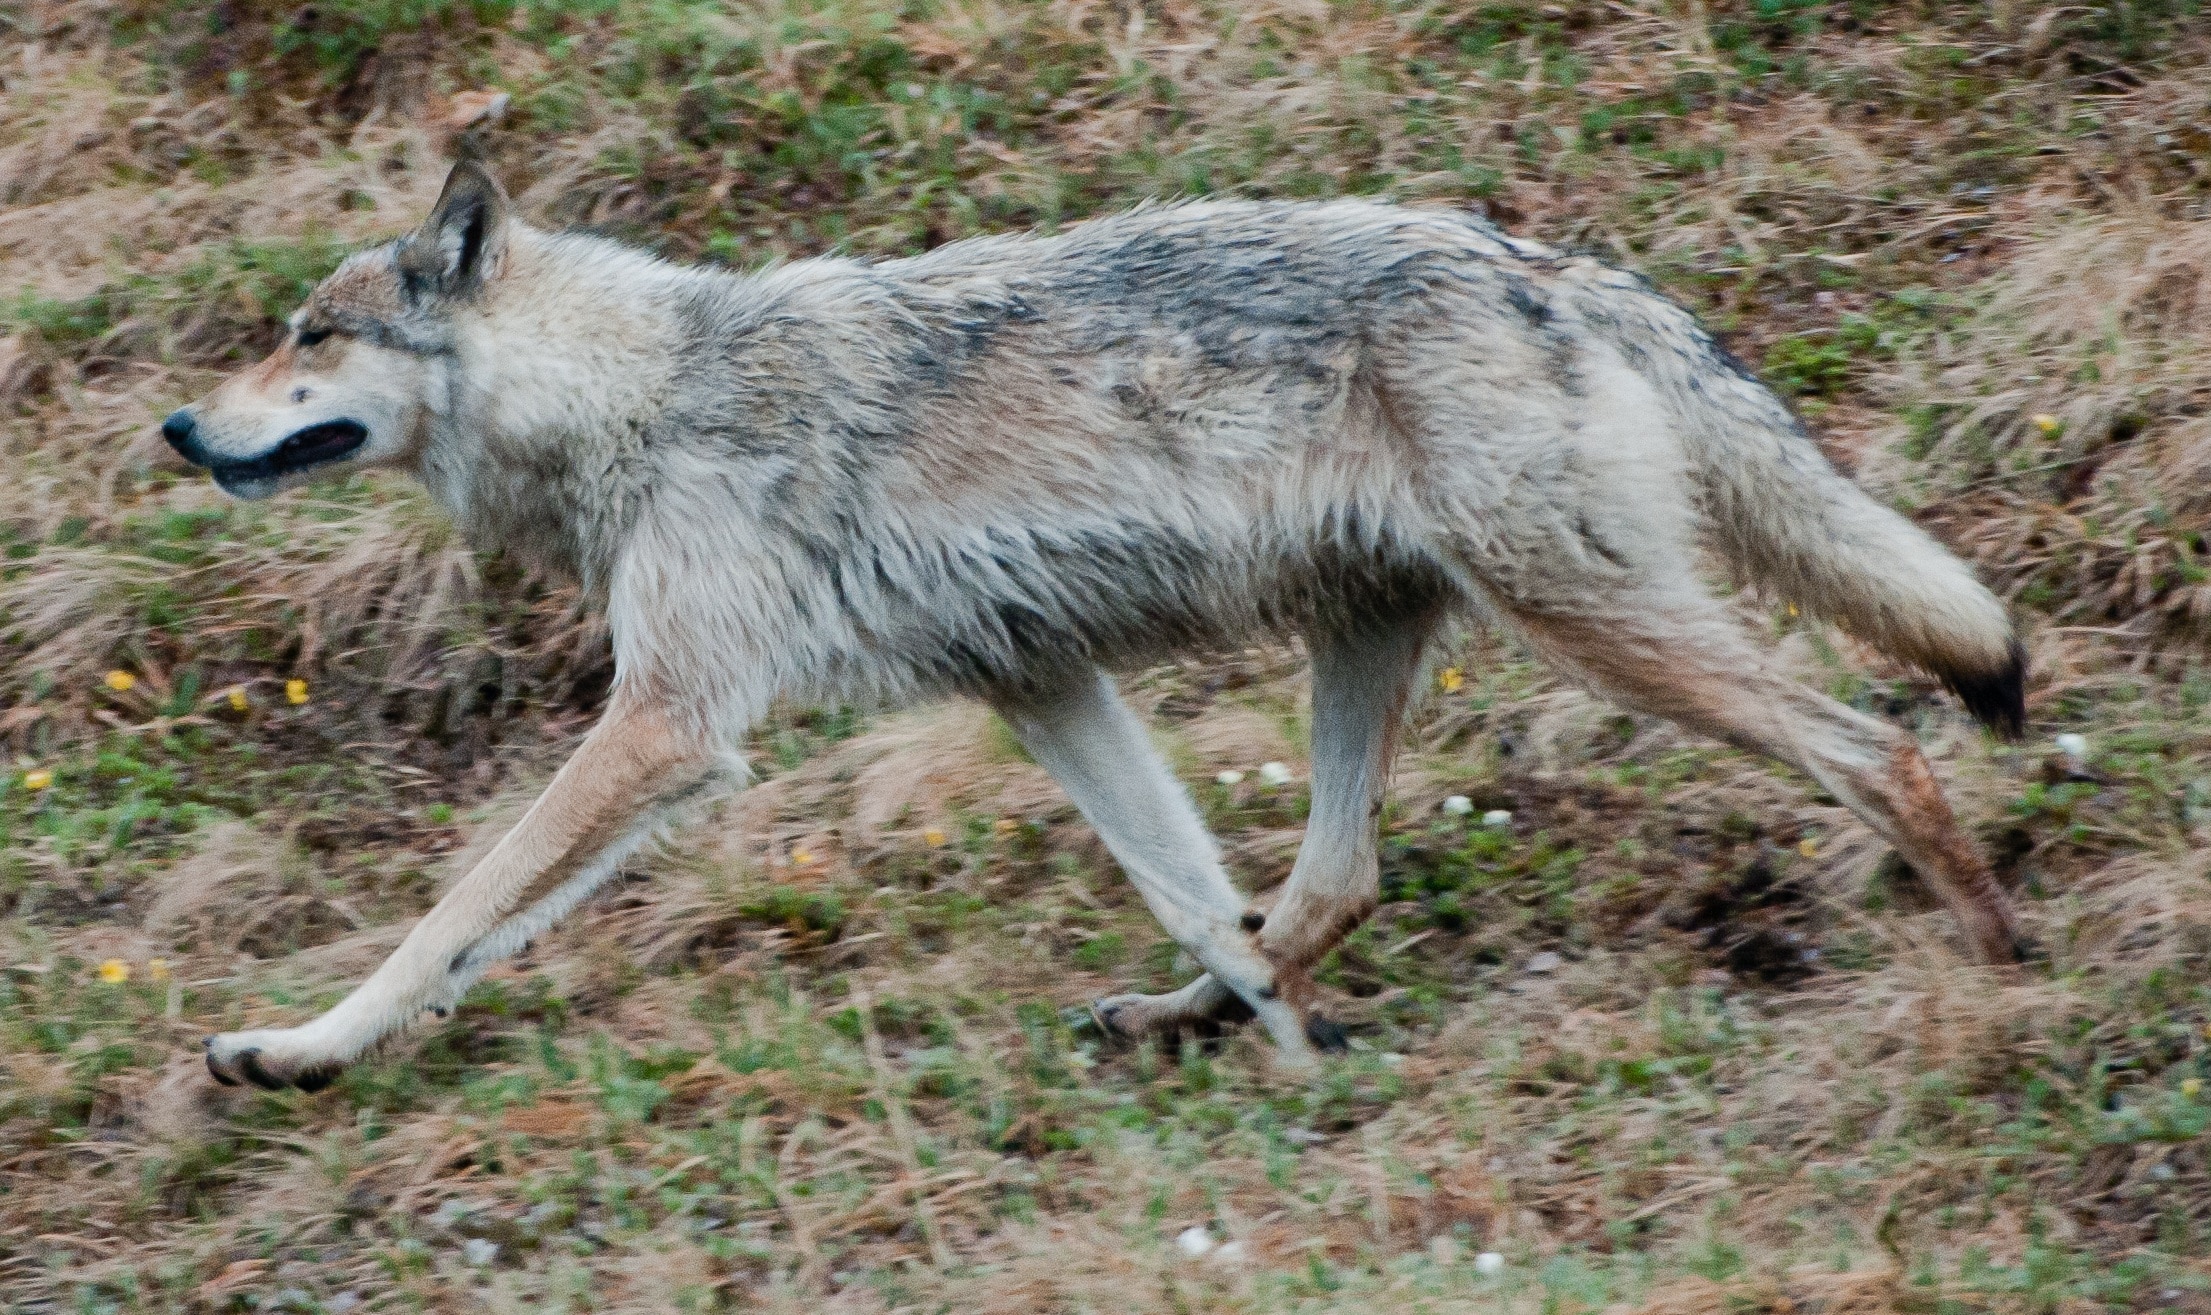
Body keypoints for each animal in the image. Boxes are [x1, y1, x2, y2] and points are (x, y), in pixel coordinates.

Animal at [166, 161, 2025, 1089]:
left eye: (306, 338)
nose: (181, 428)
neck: (650, 397)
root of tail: (1551, 262)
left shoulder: (670, 727)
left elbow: (449, 915)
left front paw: (298, 1048)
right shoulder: (1040, 684)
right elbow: (1196, 889)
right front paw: (1289, 1054)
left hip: (1592, 621)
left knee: (1877, 750)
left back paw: (2004, 964)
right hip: (1374, 638)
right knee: (1324, 887)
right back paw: (1201, 1021)